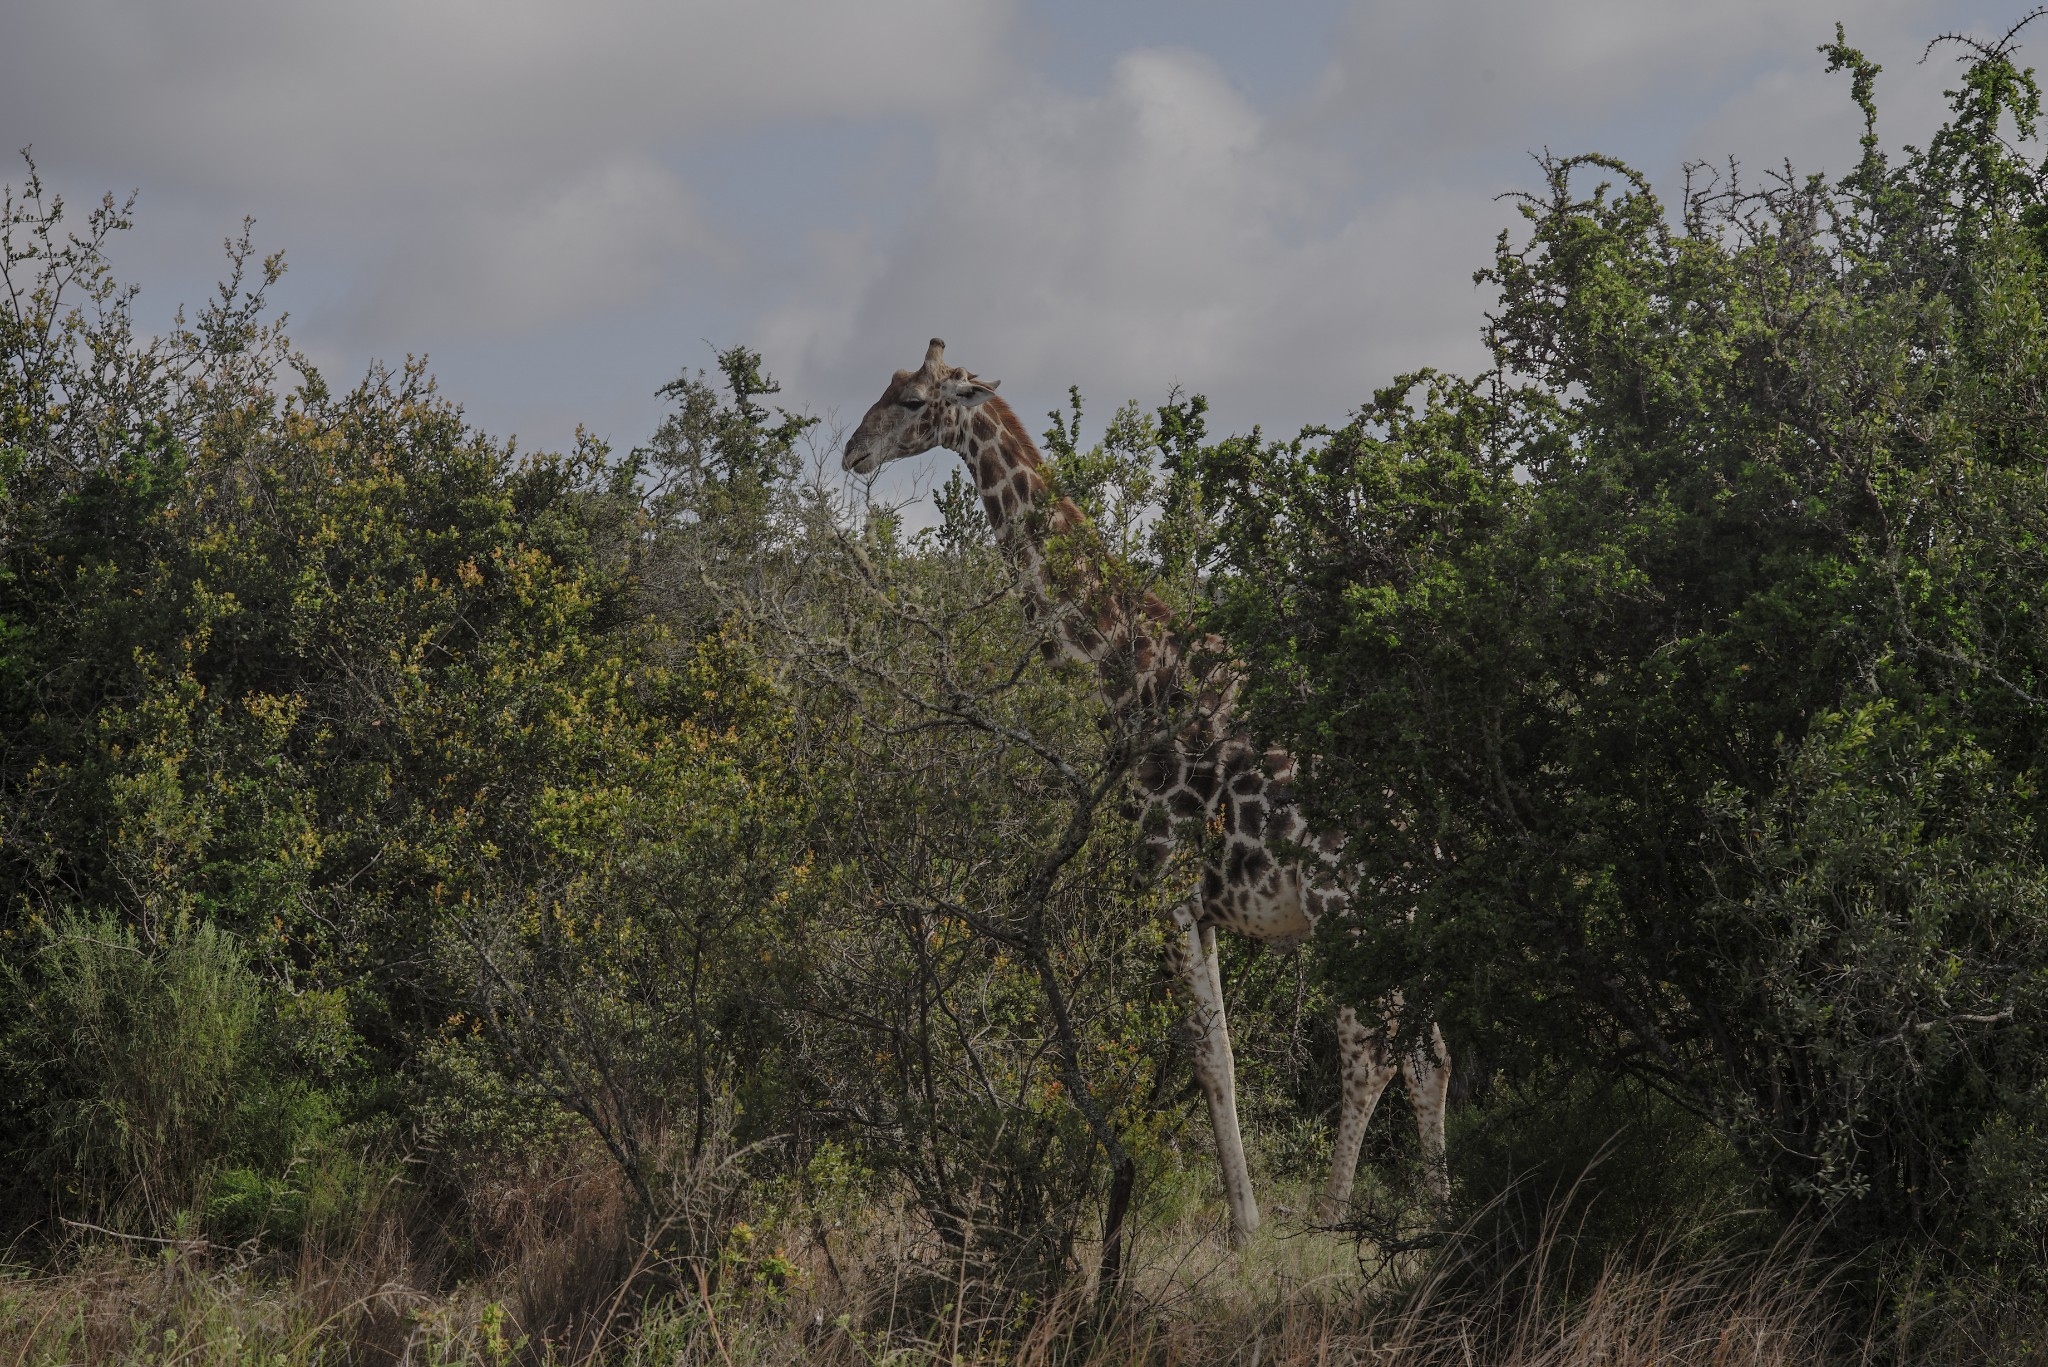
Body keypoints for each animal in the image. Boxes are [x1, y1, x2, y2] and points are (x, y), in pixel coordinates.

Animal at [839, 340, 1449, 1237]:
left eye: (914, 401)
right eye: (886, 389)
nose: (854, 452)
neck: (1128, 676)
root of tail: (1429, 832)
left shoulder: (1164, 884)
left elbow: (1208, 1054)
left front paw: (1246, 1227)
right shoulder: (1199, 904)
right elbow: (1219, 1047)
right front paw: (1245, 1216)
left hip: (1349, 912)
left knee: (1370, 1048)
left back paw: (1335, 1217)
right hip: (1403, 924)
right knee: (1429, 1053)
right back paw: (1447, 1217)